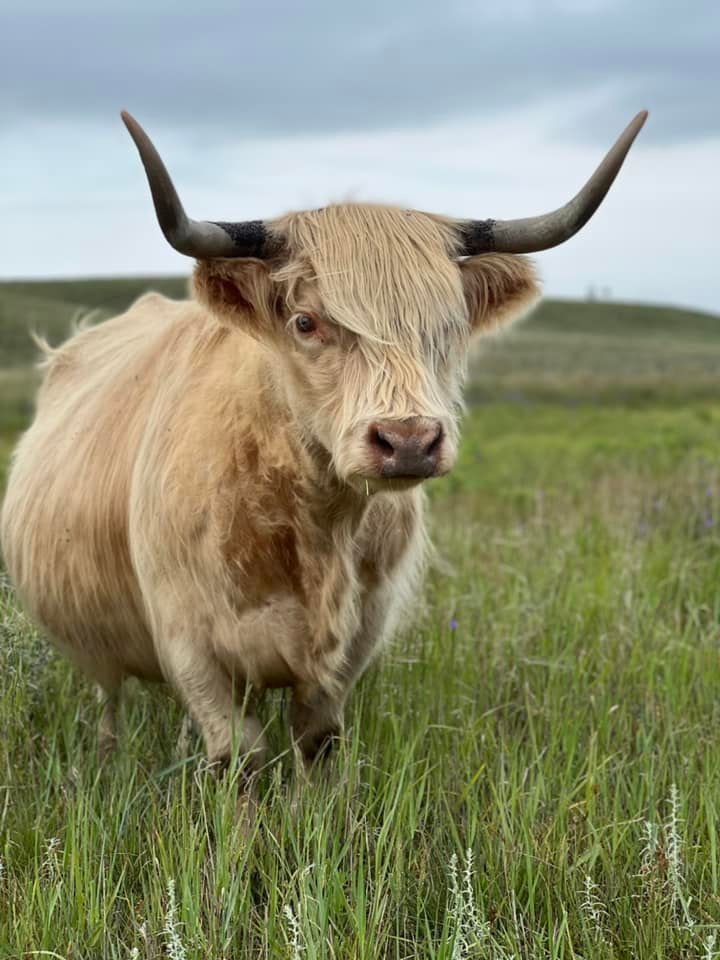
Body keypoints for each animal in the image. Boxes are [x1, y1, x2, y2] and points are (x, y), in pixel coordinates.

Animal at [0, 110, 647, 776]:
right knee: (111, 698)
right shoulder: (189, 642)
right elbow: (240, 756)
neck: (312, 522)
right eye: (306, 322)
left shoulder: (355, 638)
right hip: (102, 652)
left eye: (449, 327)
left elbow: (316, 740)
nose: (408, 440)